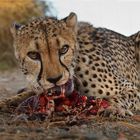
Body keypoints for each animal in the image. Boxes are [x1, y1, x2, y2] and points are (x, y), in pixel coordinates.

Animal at [6, 11, 140, 117]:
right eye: (33, 55)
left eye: (64, 49)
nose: (55, 79)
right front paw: (9, 101)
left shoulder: (133, 88)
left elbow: (117, 98)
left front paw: (112, 107)